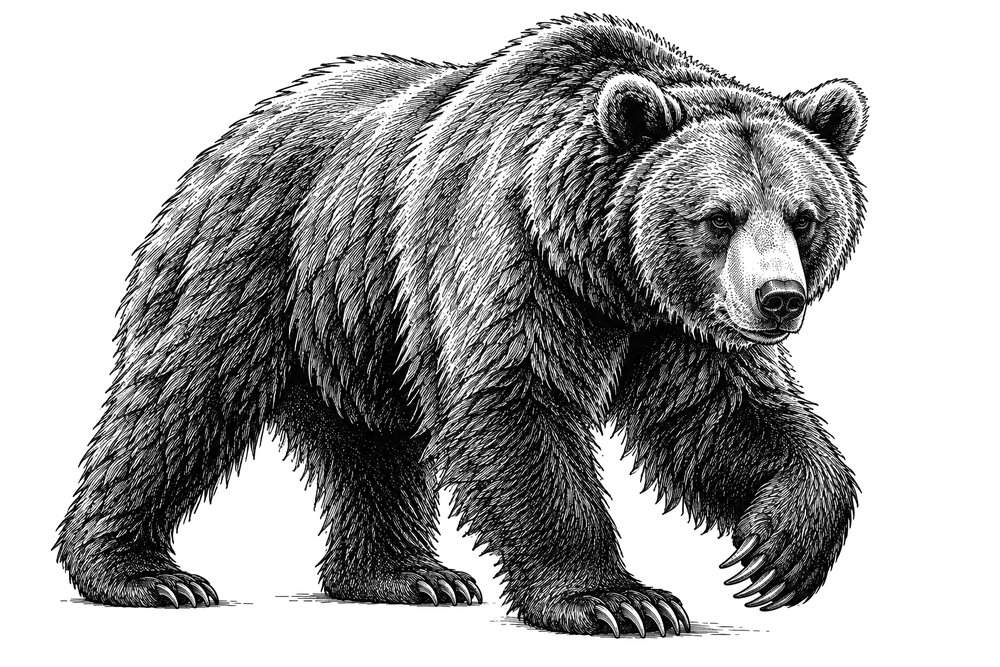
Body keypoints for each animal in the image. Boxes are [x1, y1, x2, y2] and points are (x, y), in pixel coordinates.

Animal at [57, 13, 866, 637]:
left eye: (803, 215)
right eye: (718, 217)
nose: (780, 297)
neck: (602, 266)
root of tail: (236, 131)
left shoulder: (676, 320)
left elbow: (721, 412)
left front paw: (779, 549)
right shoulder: (507, 246)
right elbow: (514, 402)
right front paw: (618, 599)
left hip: (357, 320)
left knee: (371, 448)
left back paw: (405, 574)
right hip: (253, 262)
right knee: (182, 399)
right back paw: (141, 573)